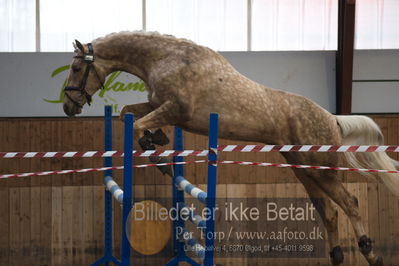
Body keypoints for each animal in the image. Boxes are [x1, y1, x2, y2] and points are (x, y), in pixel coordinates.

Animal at [64, 30, 398, 264]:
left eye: (77, 68)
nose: (69, 106)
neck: (165, 58)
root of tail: (332, 118)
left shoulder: (174, 109)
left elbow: (137, 124)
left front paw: (155, 149)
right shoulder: (160, 106)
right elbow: (127, 114)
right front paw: (157, 141)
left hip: (321, 168)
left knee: (349, 202)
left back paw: (371, 252)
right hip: (303, 169)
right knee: (328, 211)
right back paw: (337, 255)